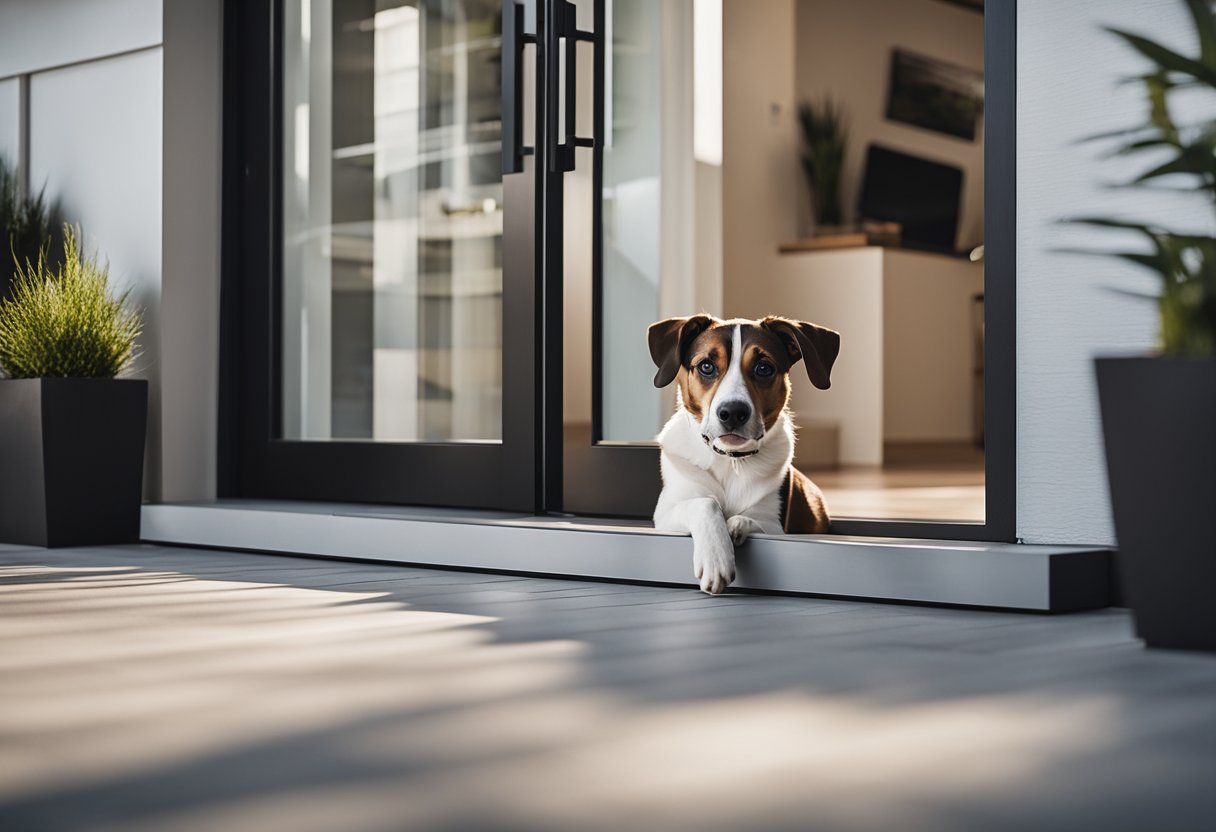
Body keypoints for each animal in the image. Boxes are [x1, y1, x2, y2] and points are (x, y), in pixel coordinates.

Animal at [651, 311, 841, 591]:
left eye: (764, 368)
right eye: (706, 366)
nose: (732, 412)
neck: (731, 462)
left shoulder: (777, 525)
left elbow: (748, 520)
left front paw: (735, 526)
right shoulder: (665, 515)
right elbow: (705, 503)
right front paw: (716, 558)